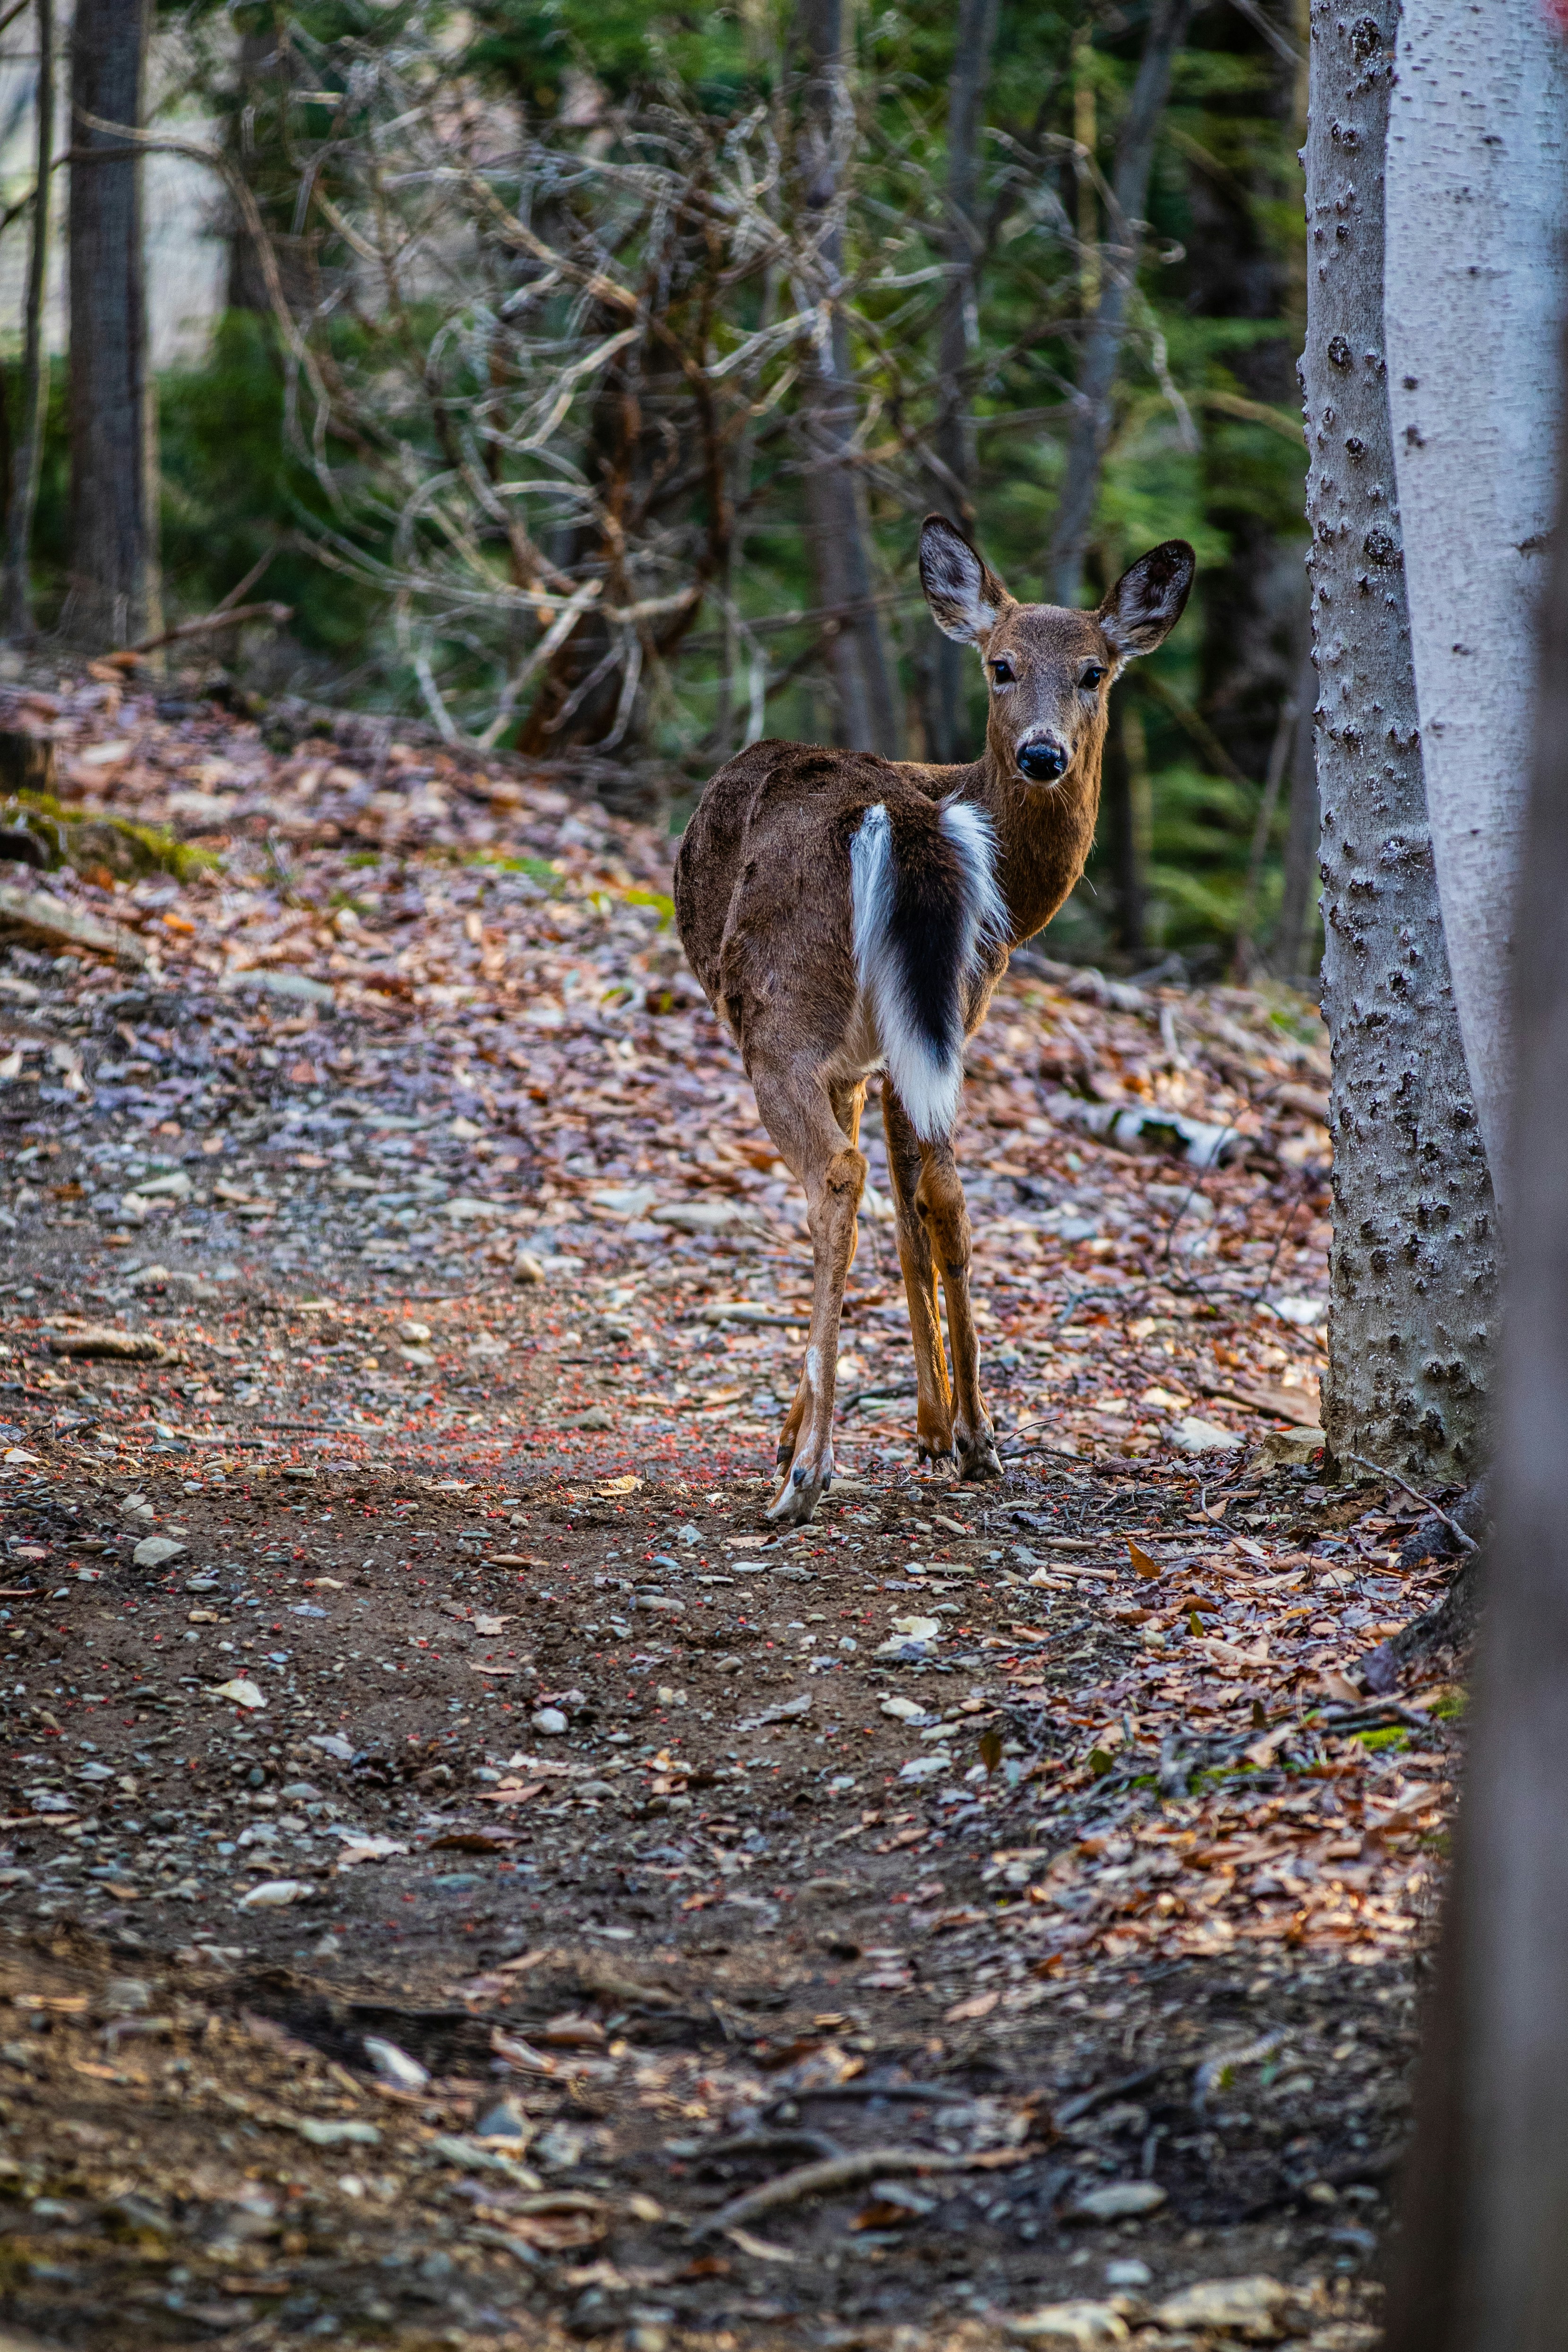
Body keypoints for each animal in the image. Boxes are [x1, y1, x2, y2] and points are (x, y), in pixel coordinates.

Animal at [673, 515, 1194, 1526]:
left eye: (1093, 671)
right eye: (999, 665)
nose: (1042, 755)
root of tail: (900, 820)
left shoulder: (865, 1053)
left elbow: (900, 1212)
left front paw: (883, 1428)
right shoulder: (926, 1029)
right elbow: (929, 1206)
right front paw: (949, 1429)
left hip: (781, 1009)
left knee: (839, 1176)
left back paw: (807, 1473)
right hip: (914, 1014)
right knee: (941, 1189)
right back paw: (976, 1436)